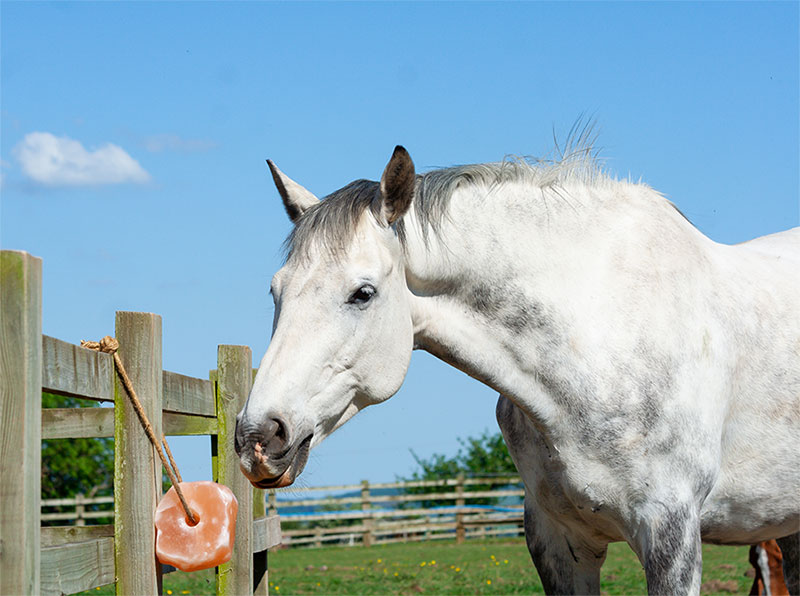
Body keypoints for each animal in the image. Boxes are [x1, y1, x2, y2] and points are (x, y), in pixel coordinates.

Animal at [234, 144, 800, 595]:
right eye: (275, 291)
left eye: (363, 293)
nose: (257, 438)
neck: (599, 337)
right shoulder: (558, 541)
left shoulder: (671, 535)